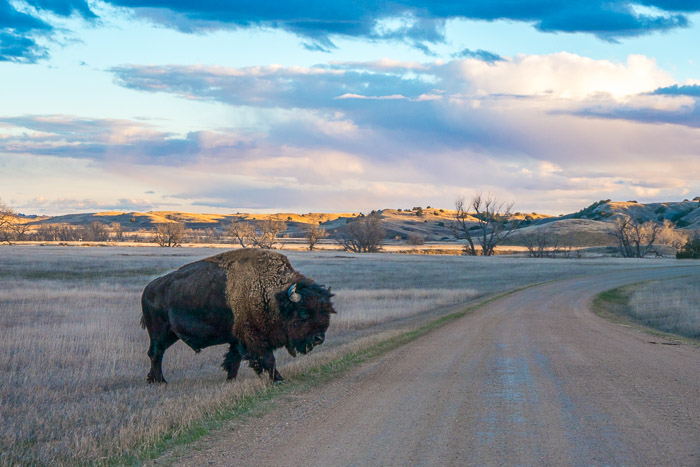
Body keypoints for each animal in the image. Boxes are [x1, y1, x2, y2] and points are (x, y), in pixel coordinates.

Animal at [140, 249, 335, 384]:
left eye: (325, 311)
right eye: (303, 312)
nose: (319, 338)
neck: (273, 295)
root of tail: (148, 288)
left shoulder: (237, 339)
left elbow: (234, 360)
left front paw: (230, 380)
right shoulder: (254, 338)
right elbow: (268, 359)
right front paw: (279, 380)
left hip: (170, 335)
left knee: (155, 353)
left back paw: (153, 380)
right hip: (159, 332)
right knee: (156, 353)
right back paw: (161, 381)